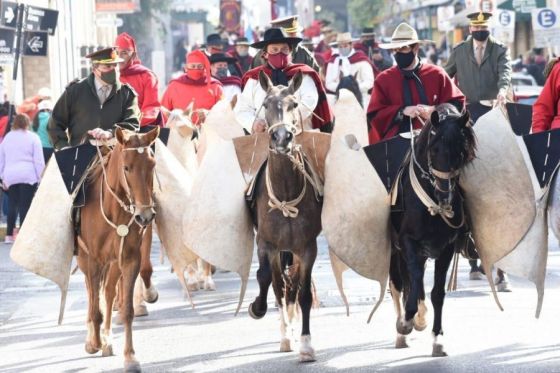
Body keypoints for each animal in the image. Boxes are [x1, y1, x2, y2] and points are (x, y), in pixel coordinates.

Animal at [75, 126, 159, 370]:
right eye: (127, 167)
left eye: (152, 164)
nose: (145, 215)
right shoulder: (92, 260)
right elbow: (94, 306)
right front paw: (93, 342)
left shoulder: (129, 259)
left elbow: (127, 309)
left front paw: (130, 357)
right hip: (87, 261)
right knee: (92, 293)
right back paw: (94, 338)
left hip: (113, 263)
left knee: (109, 291)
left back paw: (107, 338)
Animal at [247, 71, 322, 362]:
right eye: (265, 104)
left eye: (294, 104)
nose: (282, 137)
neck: (285, 190)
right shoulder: (267, 245)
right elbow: (269, 280)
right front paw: (258, 308)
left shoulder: (307, 247)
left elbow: (303, 294)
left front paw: (306, 345)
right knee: (280, 287)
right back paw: (284, 333)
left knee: (292, 289)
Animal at [390, 103, 476, 356]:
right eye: (434, 149)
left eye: (461, 151)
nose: (445, 197)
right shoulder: (408, 242)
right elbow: (413, 281)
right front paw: (406, 321)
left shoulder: (446, 247)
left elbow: (437, 293)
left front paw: (437, 338)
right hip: (398, 252)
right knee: (401, 283)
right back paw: (404, 329)